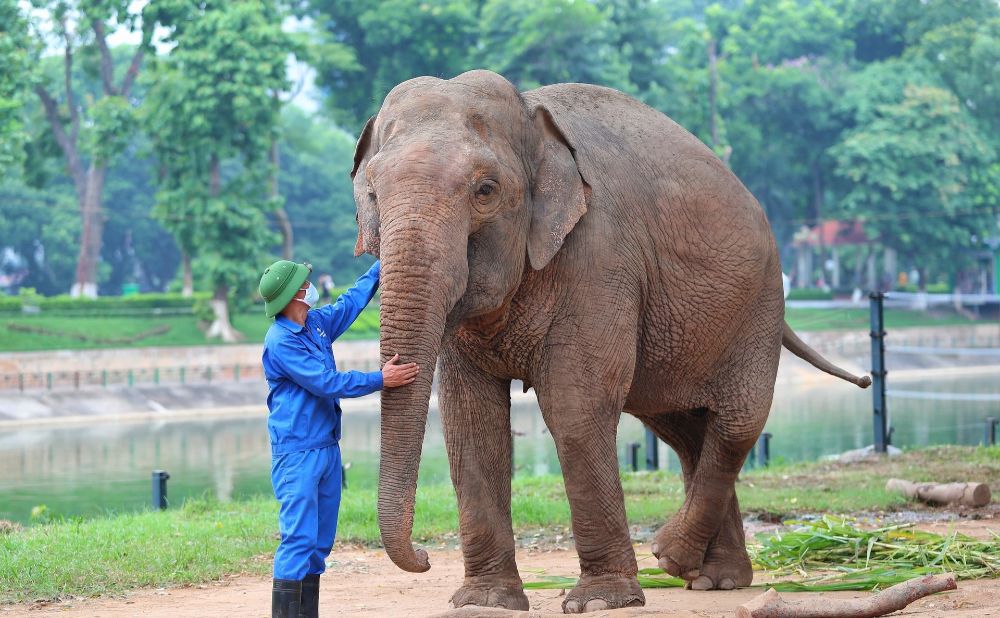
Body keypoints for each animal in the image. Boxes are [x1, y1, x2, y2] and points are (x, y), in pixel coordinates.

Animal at [350, 68, 868, 612]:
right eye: (372, 195)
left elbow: (576, 406)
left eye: (486, 190)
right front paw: (484, 602)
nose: (425, 555)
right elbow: (471, 420)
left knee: (736, 425)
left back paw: (673, 558)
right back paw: (714, 578)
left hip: (760, 304)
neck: (530, 115)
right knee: (685, 431)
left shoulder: (601, 256)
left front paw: (600, 602)